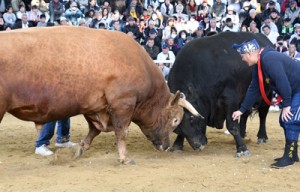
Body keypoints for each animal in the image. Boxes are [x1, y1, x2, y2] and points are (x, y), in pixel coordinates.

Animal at [0, 27, 202, 164]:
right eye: (175, 120)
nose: (166, 146)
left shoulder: (95, 107)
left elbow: (94, 131)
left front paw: (80, 148)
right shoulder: (122, 105)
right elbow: (121, 132)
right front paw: (124, 158)